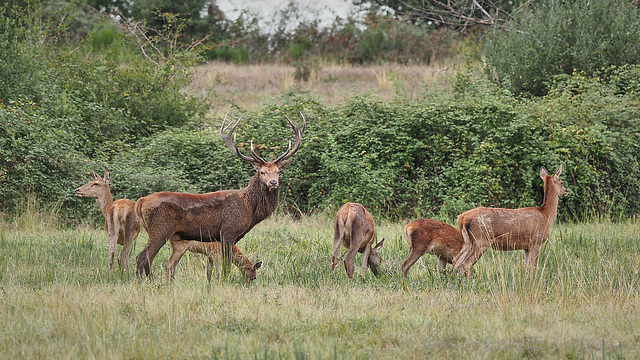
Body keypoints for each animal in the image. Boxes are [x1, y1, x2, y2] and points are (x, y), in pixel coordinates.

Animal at [134, 113, 304, 278]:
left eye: (278, 171)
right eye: (262, 172)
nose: (273, 182)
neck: (249, 209)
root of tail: (141, 201)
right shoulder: (228, 231)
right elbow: (226, 265)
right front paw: (225, 280)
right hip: (160, 229)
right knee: (142, 257)